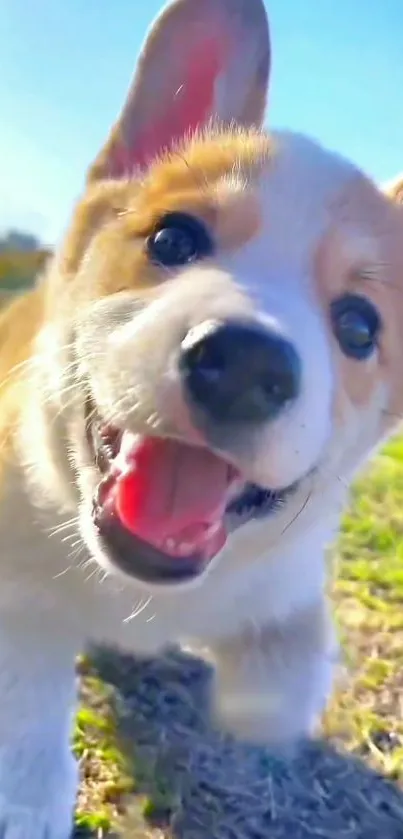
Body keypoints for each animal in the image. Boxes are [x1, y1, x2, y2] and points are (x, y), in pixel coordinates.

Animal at [0, 0, 403, 836]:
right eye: (172, 238)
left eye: (357, 327)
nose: (247, 364)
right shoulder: (12, 580)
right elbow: (28, 689)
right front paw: (28, 797)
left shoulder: (285, 576)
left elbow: (290, 665)